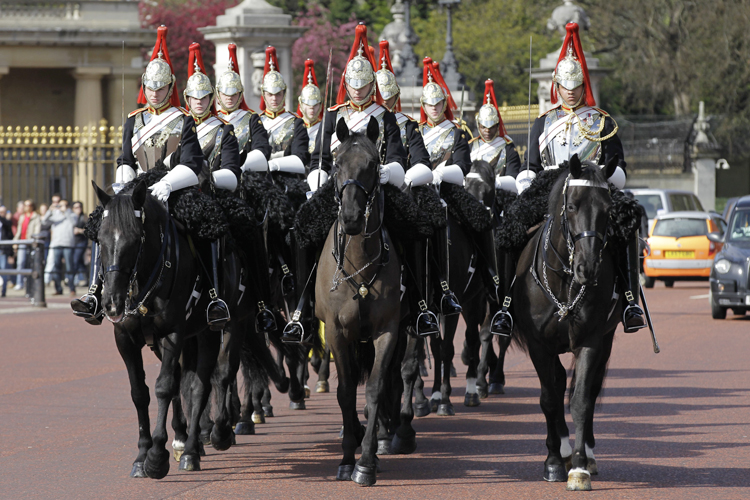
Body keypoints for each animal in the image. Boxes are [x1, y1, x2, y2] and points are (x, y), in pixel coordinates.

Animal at [516, 157, 624, 492]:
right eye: (573, 206)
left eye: (608, 209)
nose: (587, 269)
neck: (564, 282)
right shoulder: (539, 345)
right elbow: (549, 399)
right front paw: (553, 461)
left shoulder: (591, 340)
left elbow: (580, 401)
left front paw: (578, 468)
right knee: (558, 382)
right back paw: (560, 450)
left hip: (607, 339)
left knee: (588, 387)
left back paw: (585, 454)